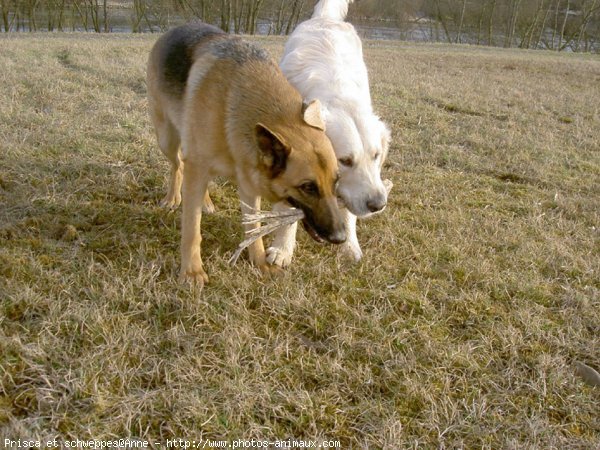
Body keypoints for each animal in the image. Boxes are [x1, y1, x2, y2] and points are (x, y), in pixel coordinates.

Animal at [266, 0, 390, 268]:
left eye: (376, 156)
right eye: (345, 160)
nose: (378, 205)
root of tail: (325, 18)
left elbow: (348, 210)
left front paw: (350, 246)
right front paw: (282, 249)